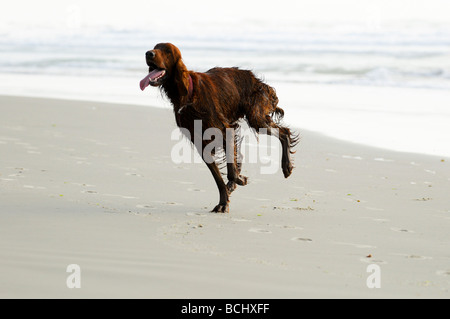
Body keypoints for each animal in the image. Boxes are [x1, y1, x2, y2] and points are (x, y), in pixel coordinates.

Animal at [139, 42, 298, 212]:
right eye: (155, 46)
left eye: (167, 51)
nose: (148, 53)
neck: (188, 95)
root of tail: (257, 80)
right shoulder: (200, 143)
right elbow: (219, 176)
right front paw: (223, 201)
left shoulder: (225, 130)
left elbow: (230, 169)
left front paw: (238, 181)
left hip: (256, 117)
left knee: (283, 132)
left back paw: (286, 166)